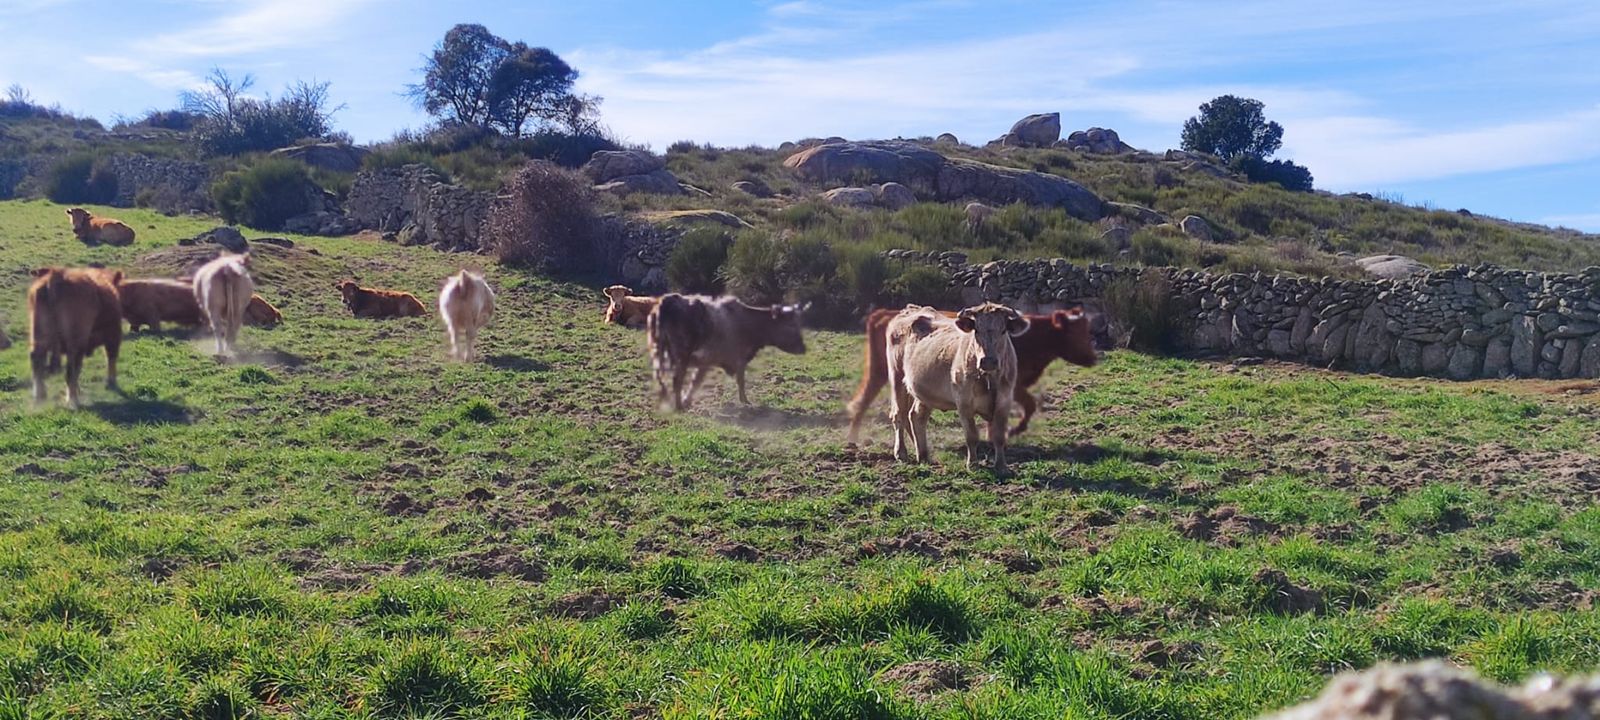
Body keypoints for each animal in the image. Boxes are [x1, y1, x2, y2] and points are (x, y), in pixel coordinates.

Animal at [28, 267, 124, 408]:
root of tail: (56, 274)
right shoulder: (113, 335)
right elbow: (111, 358)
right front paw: (111, 382)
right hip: (76, 343)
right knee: (71, 368)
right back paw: (73, 400)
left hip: (39, 337)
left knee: (37, 360)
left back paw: (40, 396)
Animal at [646, 294, 806, 411]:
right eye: (791, 325)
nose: (803, 349)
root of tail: (667, 301)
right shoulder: (739, 359)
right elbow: (740, 381)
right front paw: (745, 401)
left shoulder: (705, 362)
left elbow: (695, 382)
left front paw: (687, 400)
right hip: (681, 356)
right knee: (676, 380)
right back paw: (678, 406)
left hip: (657, 352)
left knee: (660, 378)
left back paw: (667, 399)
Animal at [846, 306, 1098, 444]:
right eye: (1075, 332)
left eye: (1087, 330)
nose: (1092, 358)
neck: (1031, 336)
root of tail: (887, 313)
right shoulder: (1015, 387)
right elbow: (1029, 406)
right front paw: (1013, 430)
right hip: (887, 374)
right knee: (872, 403)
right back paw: (854, 440)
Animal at [885, 303, 1028, 473]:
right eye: (976, 330)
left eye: (1003, 330)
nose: (988, 361)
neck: (989, 378)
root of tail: (911, 309)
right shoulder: (964, 403)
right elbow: (972, 436)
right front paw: (972, 464)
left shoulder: (1004, 402)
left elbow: (999, 437)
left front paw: (1001, 466)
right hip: (897, 378)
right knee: (898, 415)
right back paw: (901, 453)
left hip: (924, 392)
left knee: (916, 416)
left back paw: (923, 454)